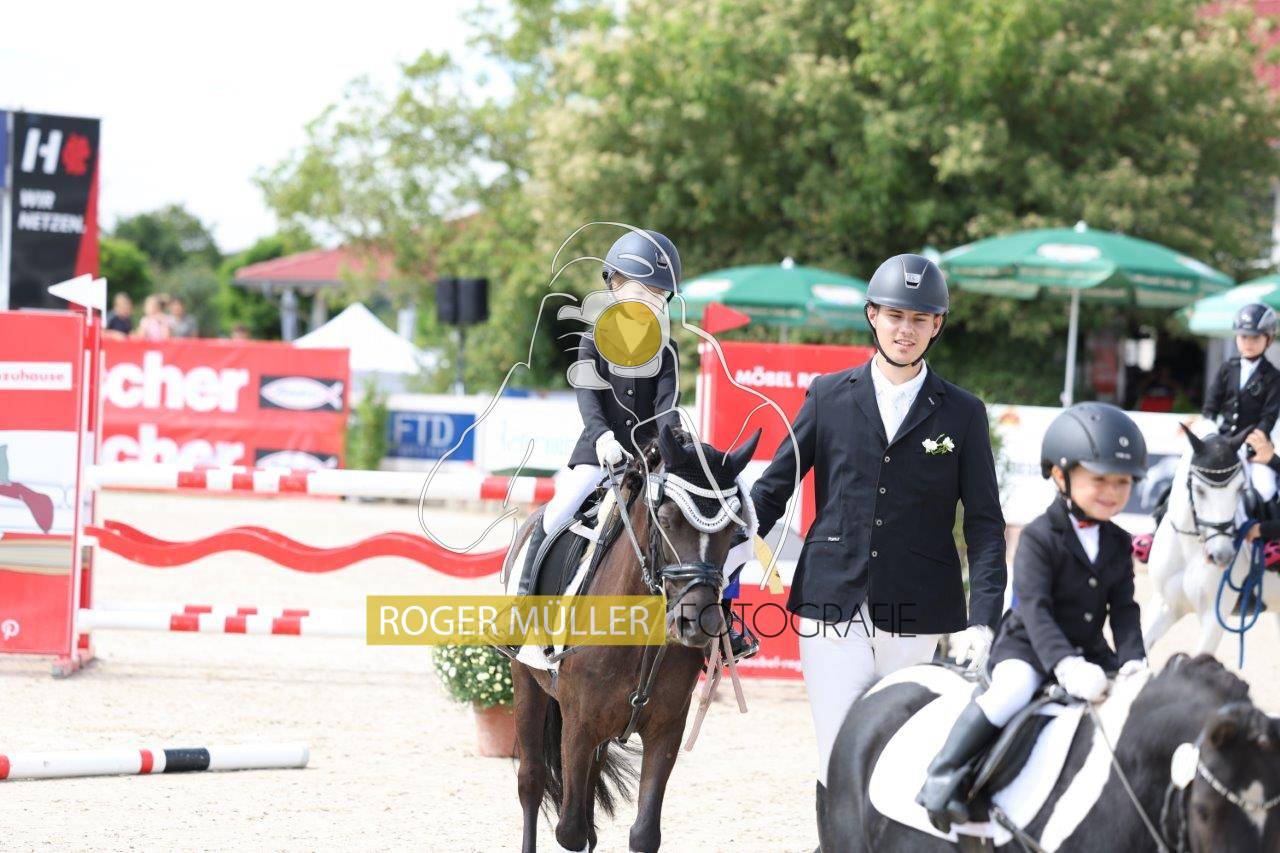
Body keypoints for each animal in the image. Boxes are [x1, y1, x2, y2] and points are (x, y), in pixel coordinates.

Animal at [506, 423, 759, 852]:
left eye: (733, 529)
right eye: (667, 519)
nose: (699, 623)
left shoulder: (666, 729)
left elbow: (642, 833)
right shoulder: (579, 724)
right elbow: (570, 830)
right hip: (527, 681)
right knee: (532, 782)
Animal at [1142, 427, 1280, 657]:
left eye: (1239, 488)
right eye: (1199, 490)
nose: (1221, 555)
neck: (1189, 549)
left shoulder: (1214, 617)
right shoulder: (1165, 604)